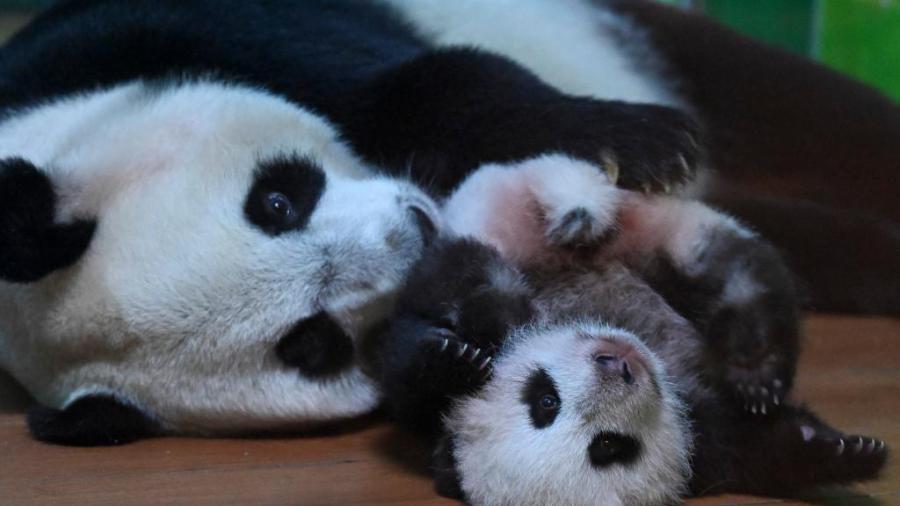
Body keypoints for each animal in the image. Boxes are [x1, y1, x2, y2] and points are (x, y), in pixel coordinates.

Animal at [0, 0, 896, 442]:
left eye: (275, 203)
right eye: (310, 345)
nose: (418, 237)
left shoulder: (169, 36)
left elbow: (434, 79)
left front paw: (631, 141)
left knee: (803, 103)